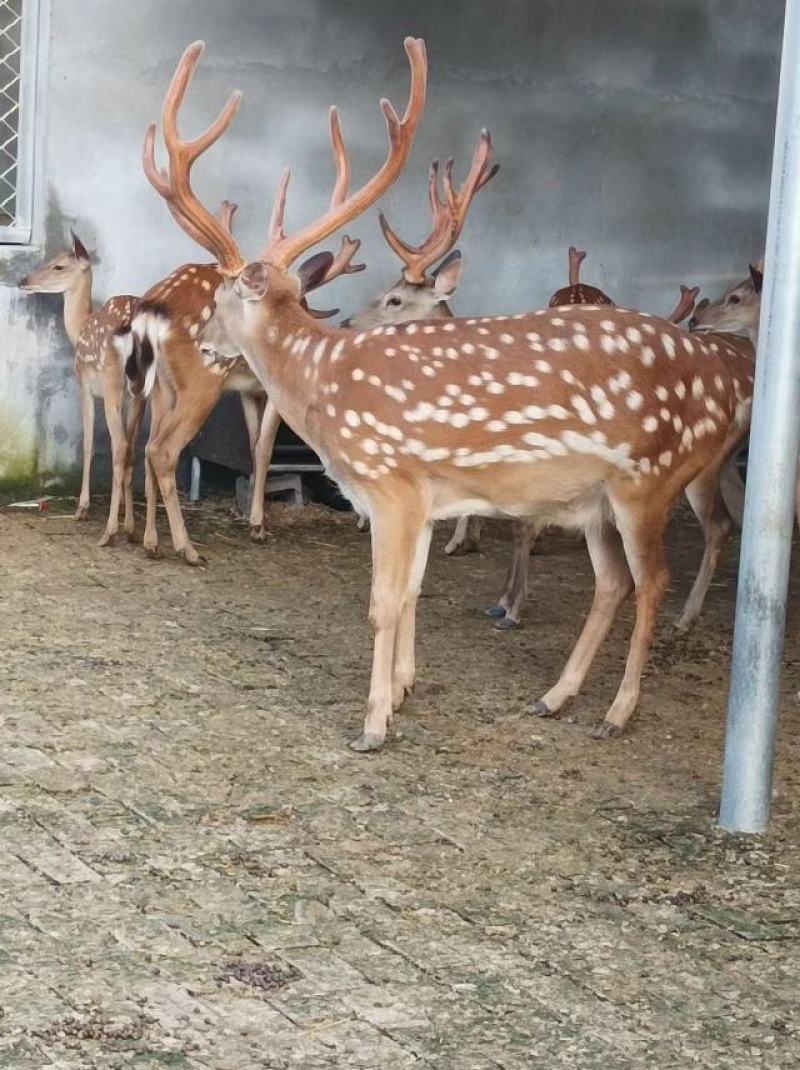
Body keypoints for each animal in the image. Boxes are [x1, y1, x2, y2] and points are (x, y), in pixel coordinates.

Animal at [18, 233, 143, 546]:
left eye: (59, 266)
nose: (23, 280)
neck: (80, 326)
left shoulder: (84, 384)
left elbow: (87, 443)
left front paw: (82, 508)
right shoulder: (127, 398)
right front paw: (123, 514)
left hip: (111, 384)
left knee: (119, 445)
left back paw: (109, 532)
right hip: (145, 392)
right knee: (136, 447)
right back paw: (135, 530)